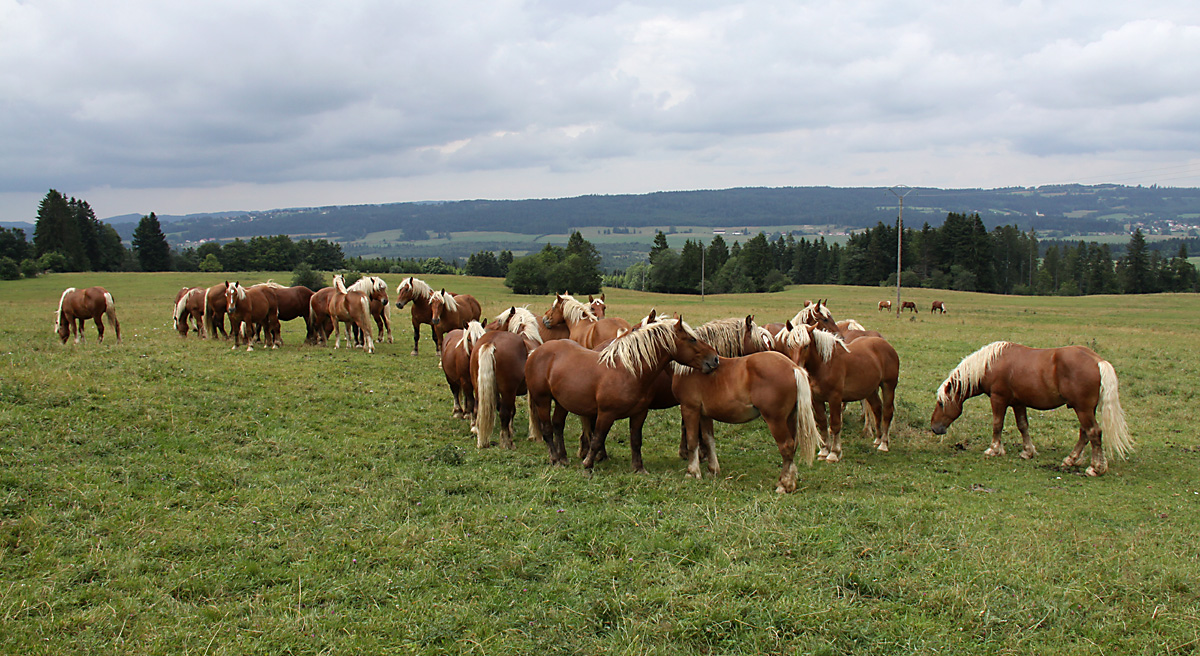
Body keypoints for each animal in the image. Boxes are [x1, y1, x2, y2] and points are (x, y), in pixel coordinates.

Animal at [523, 316, 710, 472]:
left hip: (563, 402)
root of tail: (535, 352)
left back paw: (563, 458)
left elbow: (636, 440)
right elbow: (597, 438)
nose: (713, 359)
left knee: (557, 426)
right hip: (542, 400)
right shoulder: (606, 413)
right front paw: (588, 464)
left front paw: (638, 468)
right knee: (547, 429)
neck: (628, 371)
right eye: (692, 339)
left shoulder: (639, 414)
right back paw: (555, 459)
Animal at [672, 352, 820, 496]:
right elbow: (708, 440)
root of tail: (793, 367)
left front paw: (692, 472)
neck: (691, 368)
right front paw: (712, 470)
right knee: (793, 446)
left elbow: (692, 441)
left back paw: (784, 485)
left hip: (776, 420)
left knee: (786, 446)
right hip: (790, 418)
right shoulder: (705, 414)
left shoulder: (690, 409)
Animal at [777, 323, 902, 462]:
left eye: (806, 345)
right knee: (877, 408)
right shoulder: (816, 399)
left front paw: (834, 453)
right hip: (870, 390)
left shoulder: (835, 398)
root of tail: (887, 346)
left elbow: (835, 425)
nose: (797, 366)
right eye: (789, 345)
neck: (824, 364)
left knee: (887, 412)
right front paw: (824, 451)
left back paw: (884, 444)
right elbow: (822, 423)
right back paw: (878, 440)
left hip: (888, 387)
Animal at [926, 342, 1132, 477]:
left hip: (1083, 409)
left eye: (941, 403)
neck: (991, 363)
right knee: (1085, 433)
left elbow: (997, 424)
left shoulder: (998, 399)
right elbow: (1023, 426)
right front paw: (1028, 452)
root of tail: (1098, 361)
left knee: (1094, 432)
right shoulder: (1018, 403)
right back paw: (1071, 459)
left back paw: (1095, 468)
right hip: (1087, 409)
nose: (935, 427)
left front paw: (994, 449)